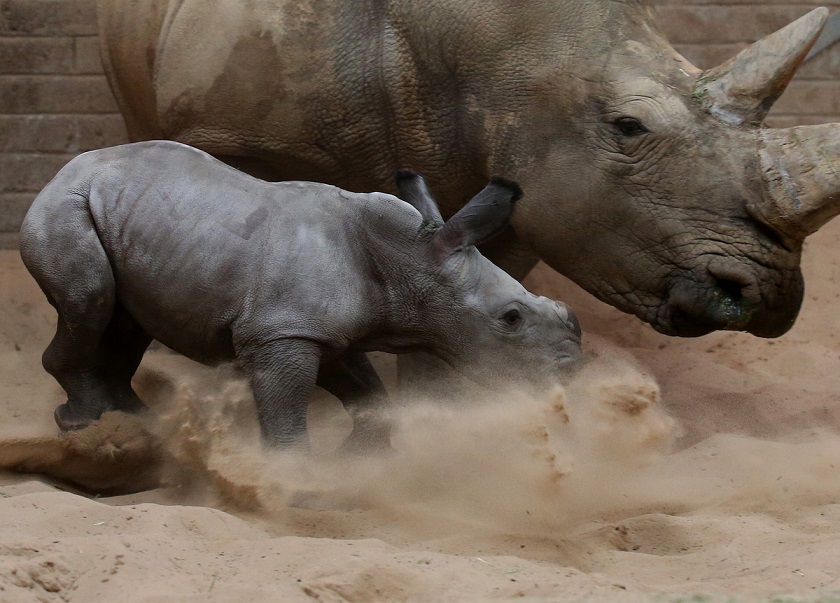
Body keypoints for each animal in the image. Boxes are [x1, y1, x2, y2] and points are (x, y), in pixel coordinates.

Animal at [21, 142, 584, 450]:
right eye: (511, 318)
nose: (571, 370)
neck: (412, 255)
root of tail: (66, 168)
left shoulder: (326, 332)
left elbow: (371, 397)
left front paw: (360, 462)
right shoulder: (280, 332)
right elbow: (287, 412)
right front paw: (294, 488)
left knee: (126, 321)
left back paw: (137, 425)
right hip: (66, 207)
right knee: (89, 300)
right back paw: (85, 425)